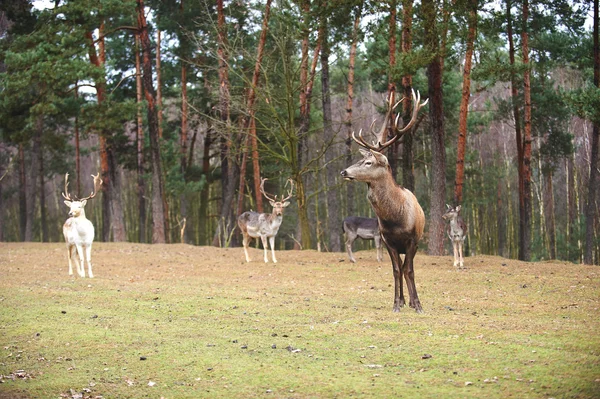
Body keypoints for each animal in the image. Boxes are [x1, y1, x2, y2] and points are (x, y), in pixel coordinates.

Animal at [340, 91, 428, 316]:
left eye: (369, 162)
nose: (344, 171)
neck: (395, 219)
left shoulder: (412, 239)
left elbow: (409, 270)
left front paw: (418, 305)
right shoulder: (388, 240)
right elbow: (396, 270)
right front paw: (397, 303)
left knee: (408, 268)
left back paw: (412, 301)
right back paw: (404, 300)